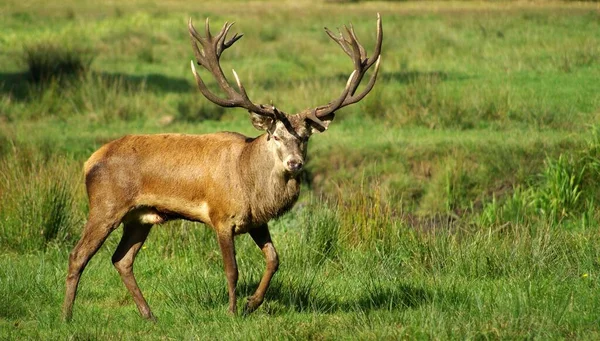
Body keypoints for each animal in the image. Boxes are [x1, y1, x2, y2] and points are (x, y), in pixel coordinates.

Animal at [63, 13, 382, 320]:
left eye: (304, 137)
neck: (250, 182)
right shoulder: (221, 217)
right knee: (78, 254)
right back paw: (67, 315)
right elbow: (232, 270)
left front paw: (252, 304)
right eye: (276, 136)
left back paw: (148, 314)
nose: (295, 163)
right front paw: (232, 312)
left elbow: (274, 259)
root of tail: (89, 161)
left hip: (139, 217)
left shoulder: (257, 221)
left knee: (122, 259)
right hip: (106, 205)